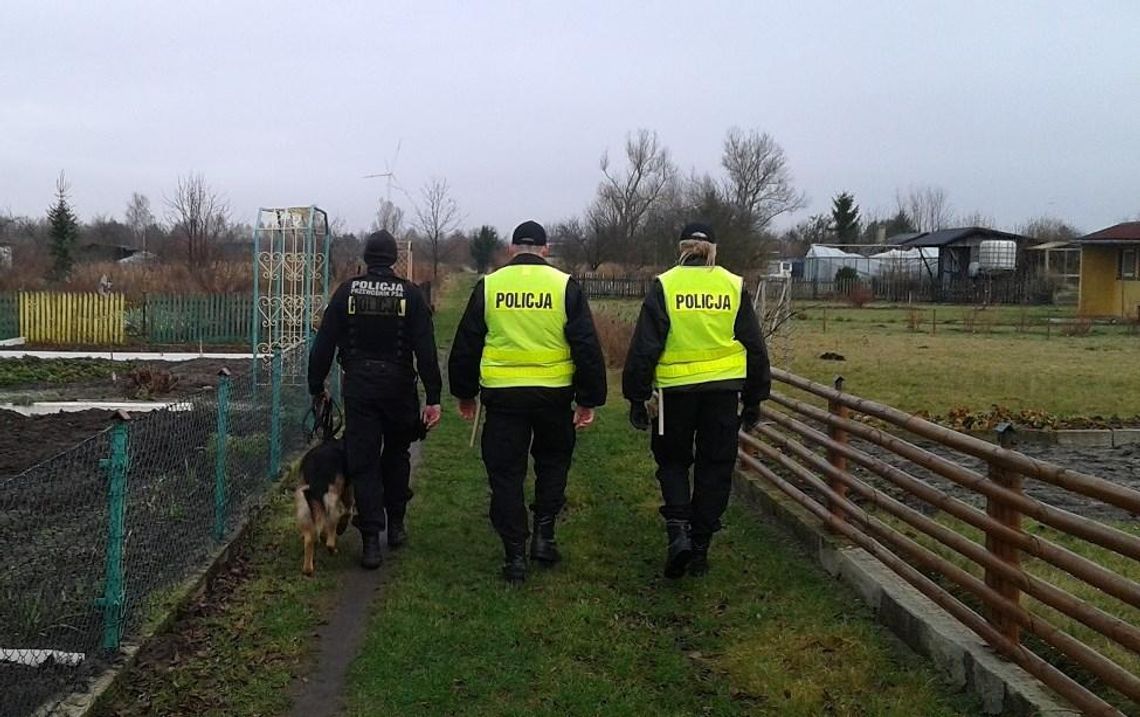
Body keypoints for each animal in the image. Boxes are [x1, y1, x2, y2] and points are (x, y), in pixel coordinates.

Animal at [294, 396, 351, 576]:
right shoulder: (347, 490)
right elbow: (349, 510)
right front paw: (342, 527)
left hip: (304, 504)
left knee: (310, 538)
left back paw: (308, 569)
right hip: (331, 504)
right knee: (330, 539)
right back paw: (332, 548)